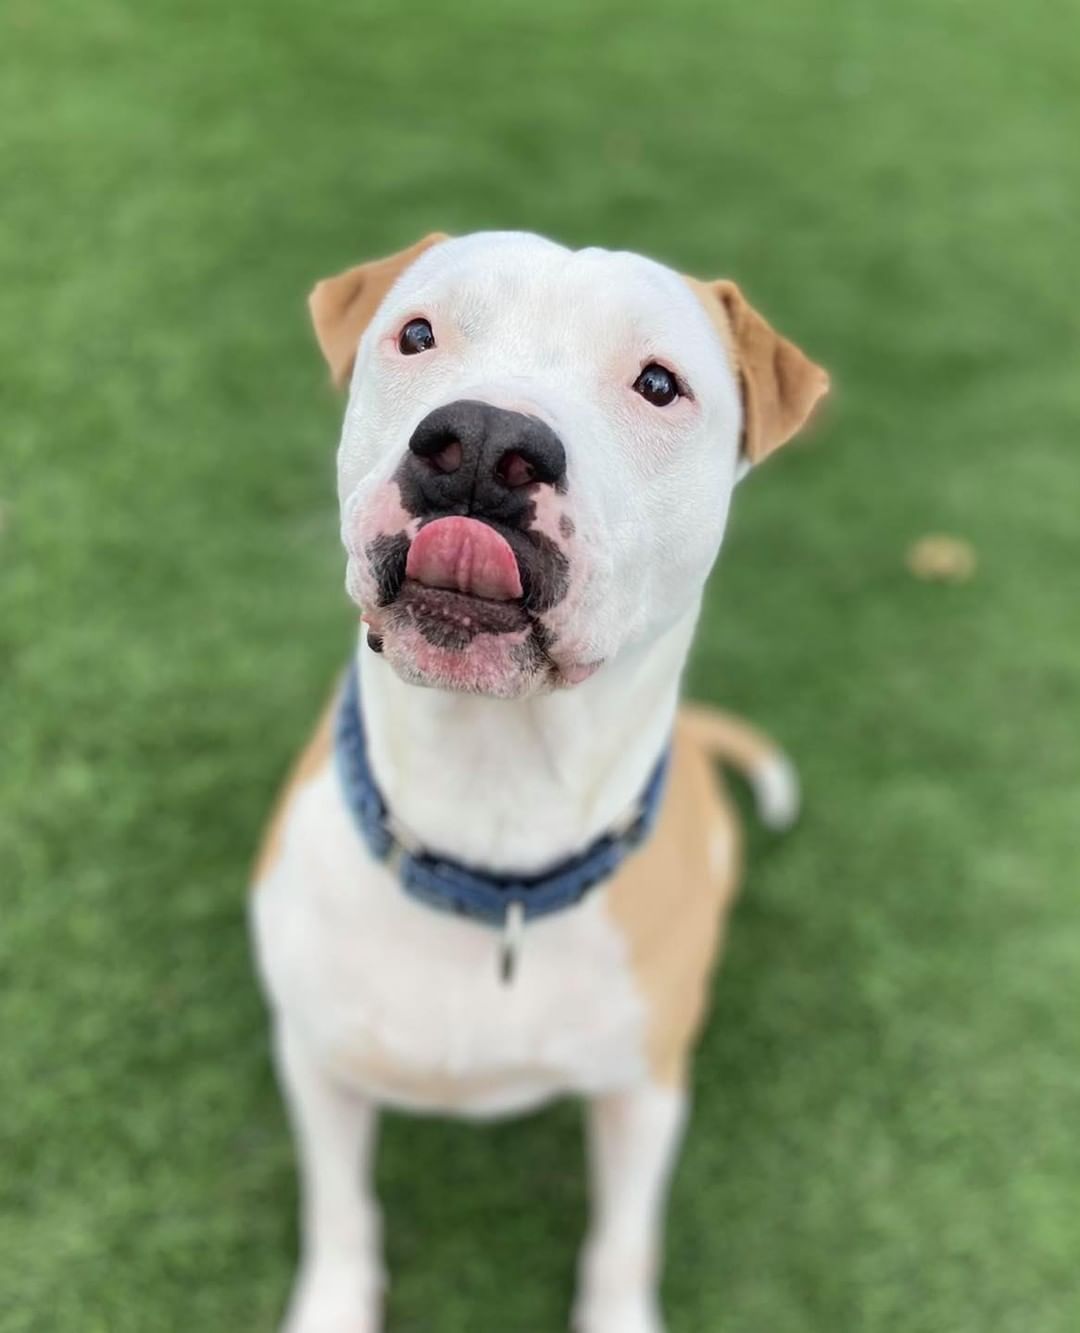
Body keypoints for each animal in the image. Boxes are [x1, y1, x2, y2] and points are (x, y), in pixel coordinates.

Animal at [250, 231, 826, 1333]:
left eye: (658, 384)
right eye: (416, 334)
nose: (481, 442)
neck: (495, 807)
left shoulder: (646, 1088)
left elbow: (623, 1240)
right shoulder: (316, 1059)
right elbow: (339, 1208)